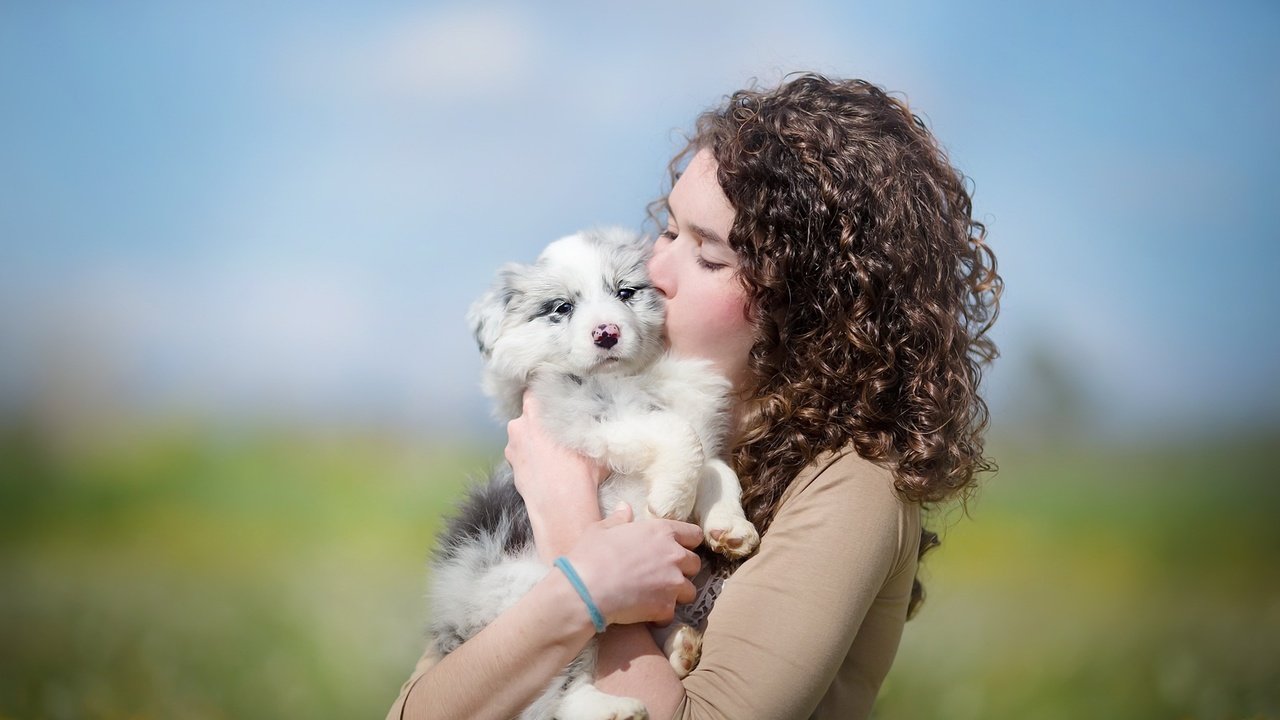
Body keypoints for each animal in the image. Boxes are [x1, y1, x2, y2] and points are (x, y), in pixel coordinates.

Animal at [424, 225, 752, 717]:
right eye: (562, 307)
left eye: (625, 292)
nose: (607, 333)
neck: (637, 376)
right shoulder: (586, 415)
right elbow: (677, 433)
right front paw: (671, 501)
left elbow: (716, 467)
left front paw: (730, 528)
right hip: (537, 604)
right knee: (557, 693)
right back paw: (614, 707)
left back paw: (679, 645)